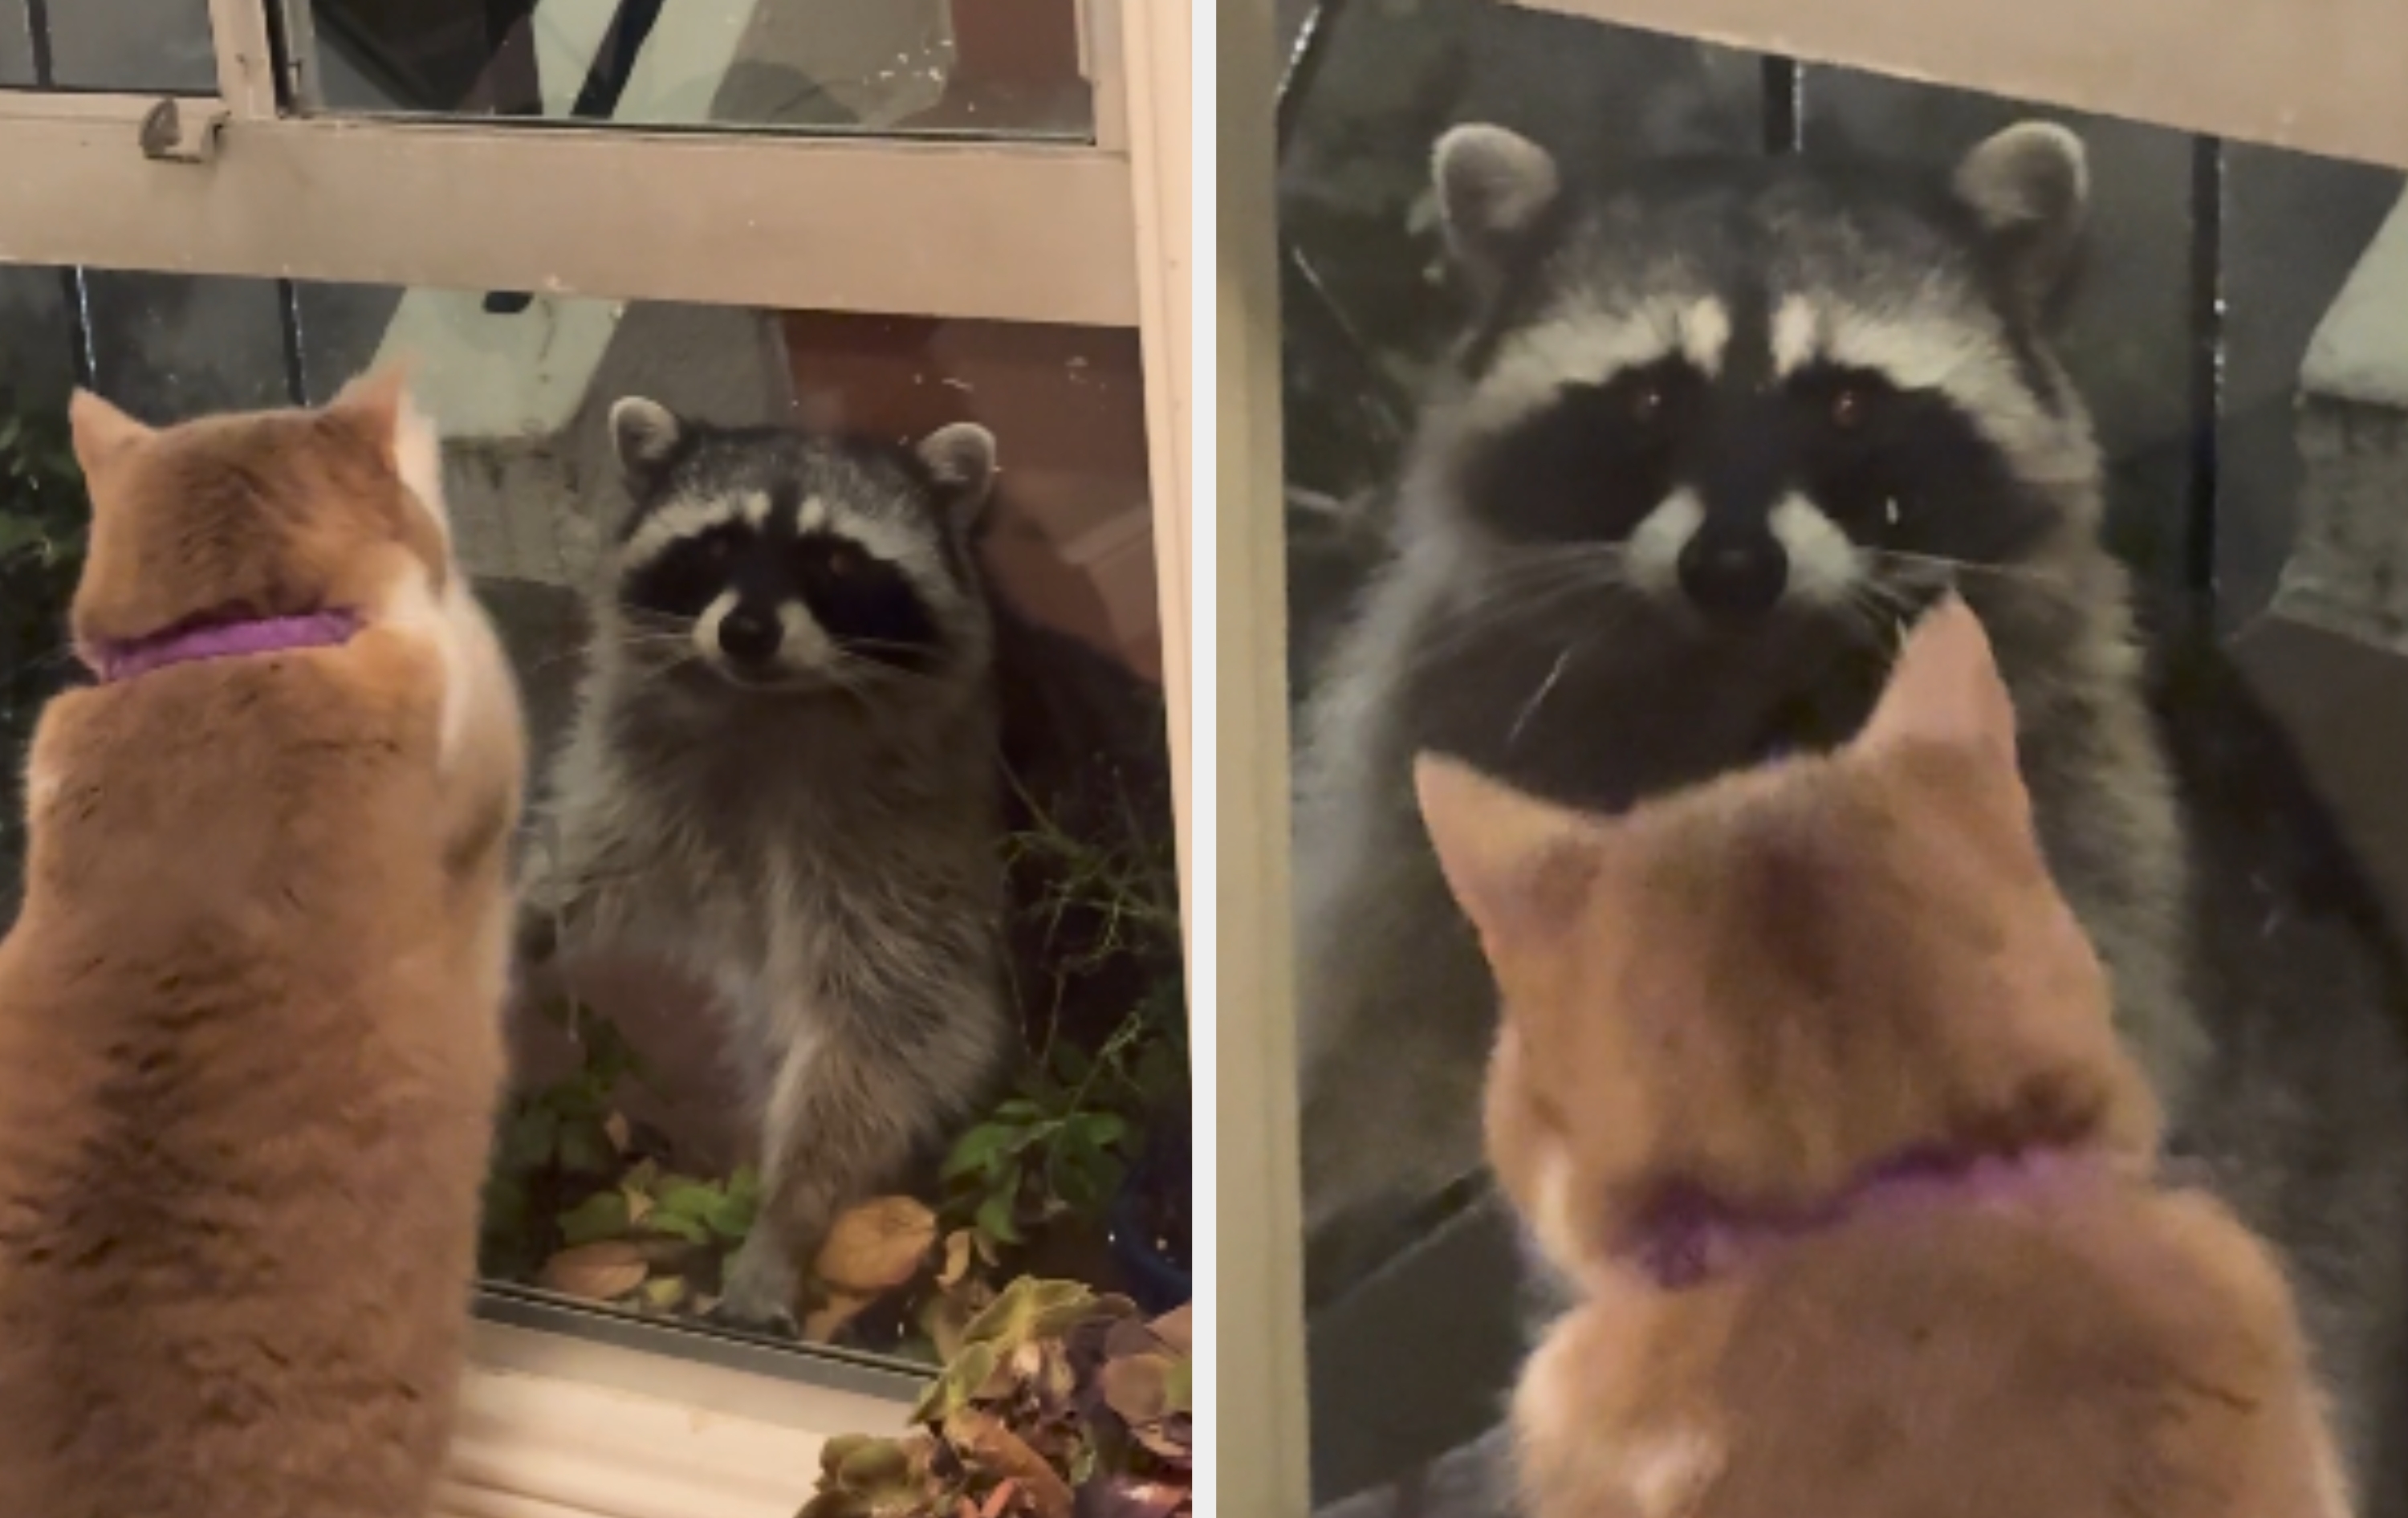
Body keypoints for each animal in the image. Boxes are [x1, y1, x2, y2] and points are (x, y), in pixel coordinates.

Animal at [524, 399, 1011, 1333]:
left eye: (836, 559)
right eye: (716, 545)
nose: (746, 631)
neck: (765, 705)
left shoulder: (909, 844)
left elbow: (891, 1033)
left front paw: (787, 1218)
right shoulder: (642, 778)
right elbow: (583, 864)